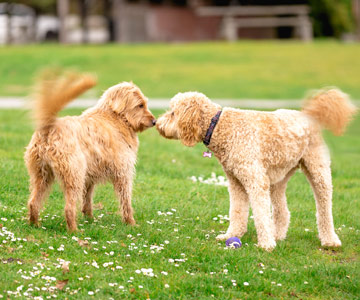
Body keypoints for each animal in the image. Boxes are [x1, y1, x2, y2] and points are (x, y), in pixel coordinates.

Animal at [25, 71, 155, 231]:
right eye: (140, 105)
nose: (154, 121)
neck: (115, 118)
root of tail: (49, 128)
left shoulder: (89, 178)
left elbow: (87, 200)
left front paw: (90, 219)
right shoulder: (123, 173)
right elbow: (126, 201)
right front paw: (131, 223)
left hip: (42, 176)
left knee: (33, 202)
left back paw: (35, 225)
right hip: (74, 175)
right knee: (68, 208)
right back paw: (74, 230)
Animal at [158, 89, 358, 251]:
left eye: (173, 113)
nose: (158, 124)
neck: (219, 126)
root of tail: (309, 115)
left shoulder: (255, 180)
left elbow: (261, 214)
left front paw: (266, 245)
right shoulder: (236, 182)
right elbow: (237, 211)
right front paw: (232, 235)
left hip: (318, 170)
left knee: (324, 208)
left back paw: (330, 240)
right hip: (279, 178)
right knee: (282, 211)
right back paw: (278, 235)